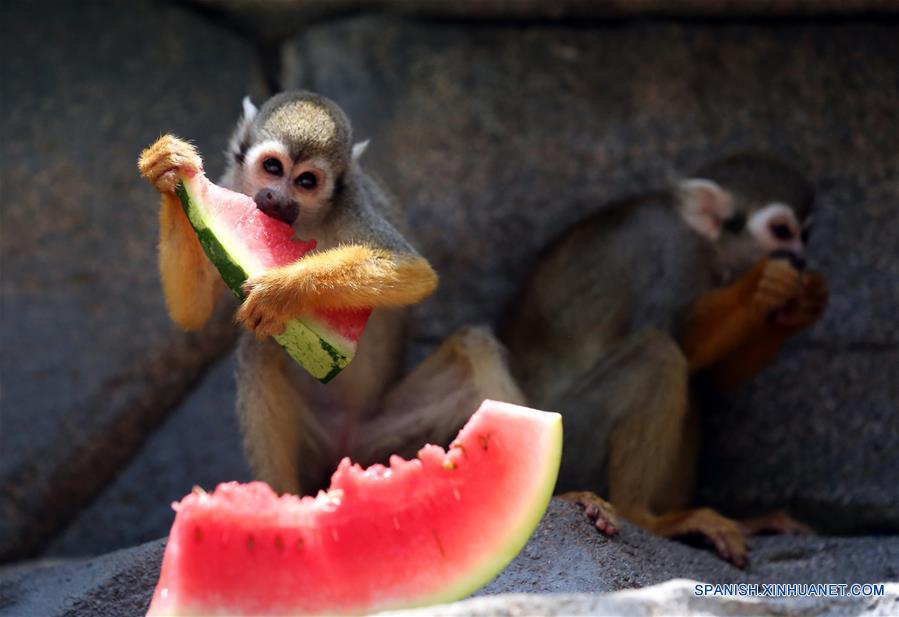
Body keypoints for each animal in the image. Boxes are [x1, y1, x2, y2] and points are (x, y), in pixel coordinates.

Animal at [137, 91, 524, 494]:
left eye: (306, 181)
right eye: (272, 168)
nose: (277, 198)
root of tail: (347, 441)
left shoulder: (350, 205)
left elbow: (414, 272)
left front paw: (283, 290)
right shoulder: (232, 185)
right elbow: (191, 314)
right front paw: (166, 174)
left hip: (391, 436)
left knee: (474, 345)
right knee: (258, 353)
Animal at [502, 153, 828, 564]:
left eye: (806, 234)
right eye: (782, 231)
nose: (799, 258)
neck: (706, 242)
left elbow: (710, 375)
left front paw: (803, 304)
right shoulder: (674, 259)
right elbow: (675, 340)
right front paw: (760, 284)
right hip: (569, 439)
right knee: (659, 355)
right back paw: (647, 518)